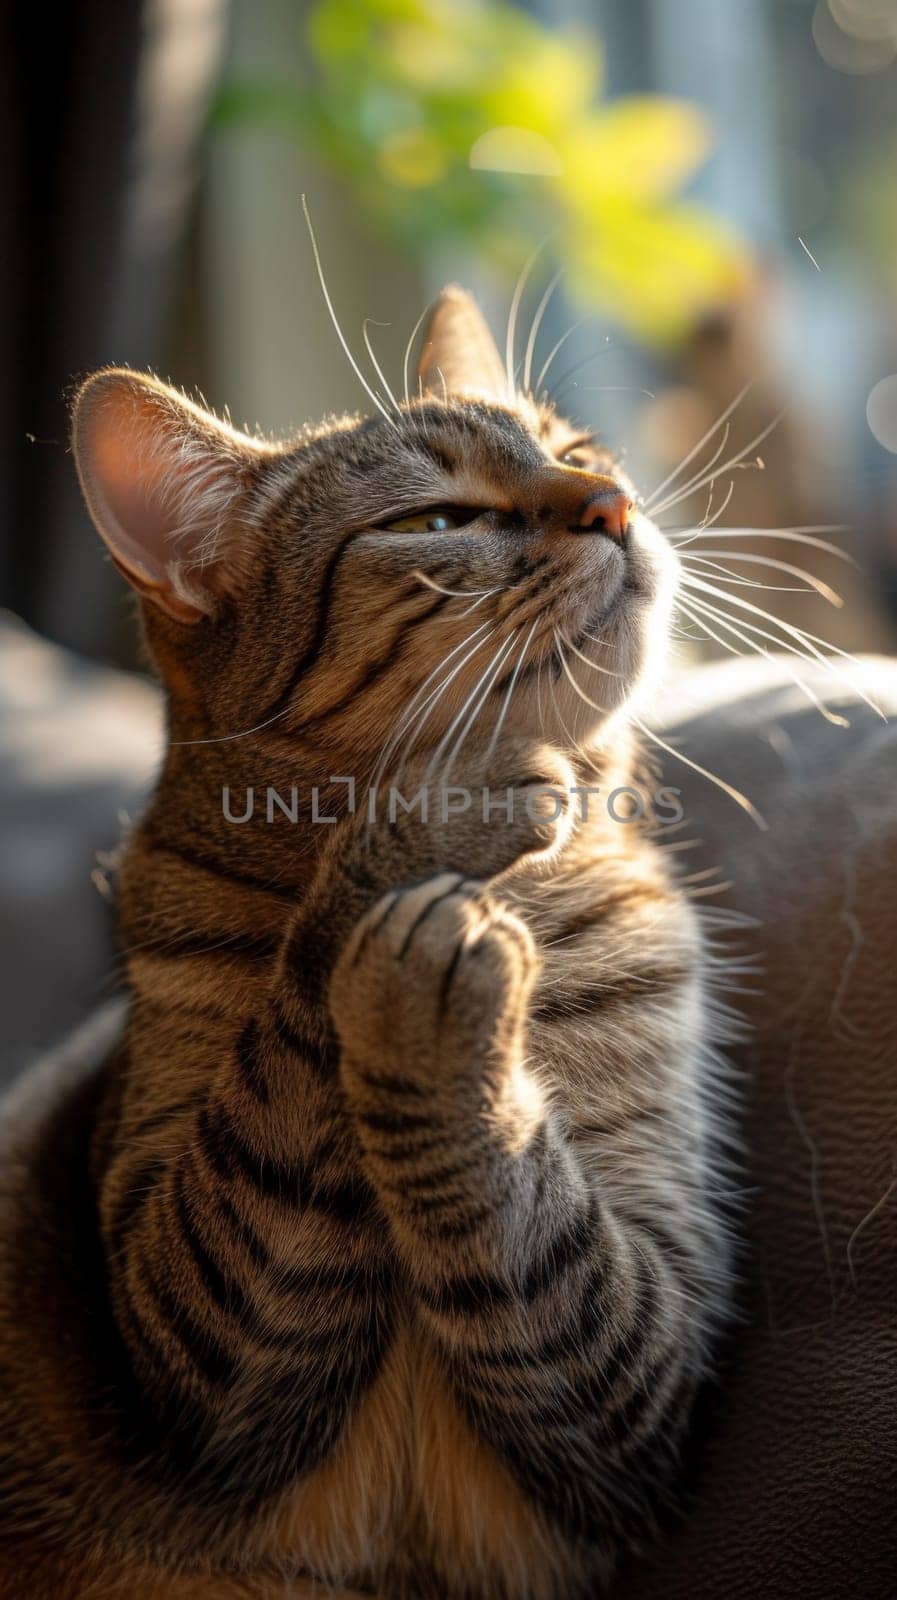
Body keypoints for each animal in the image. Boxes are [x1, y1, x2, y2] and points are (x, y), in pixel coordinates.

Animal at [0, 288, 729, 1600]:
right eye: (435, 518)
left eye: (578, 448)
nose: (616, 501)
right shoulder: (191, 1337)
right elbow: (303, 1029)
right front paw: (416, 856)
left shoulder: (651, 1363)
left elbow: (525, 1227)